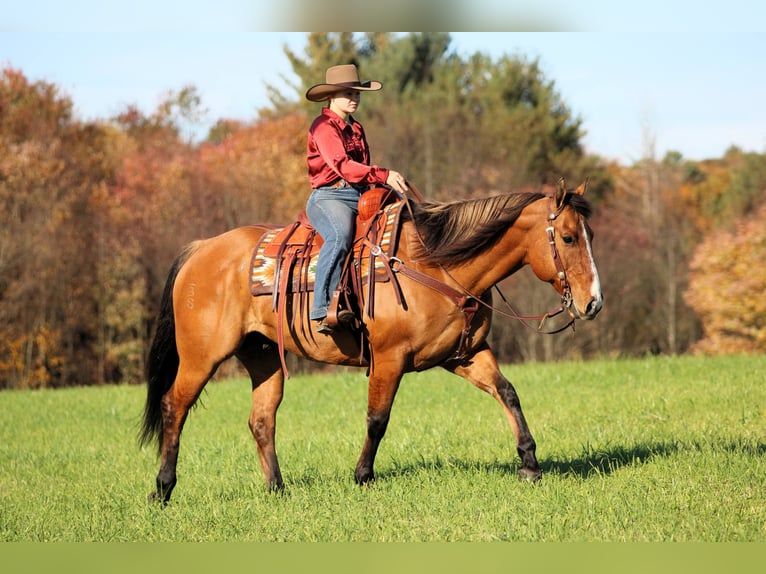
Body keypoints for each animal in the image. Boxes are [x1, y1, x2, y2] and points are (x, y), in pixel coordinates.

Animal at [139, 178, 602, 503]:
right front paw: (362, 476)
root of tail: (202, 250)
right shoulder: (388, 358)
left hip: (264, 356)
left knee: (261, 419)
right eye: (567, 237)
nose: (593, 303)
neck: (434, 263)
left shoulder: (465, 355)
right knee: (174, 406)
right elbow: (377, 419)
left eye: (590, 235)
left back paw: (277, 489)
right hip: (201, 357)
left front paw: (529, 462)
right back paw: (162, 488)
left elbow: (508, 393)